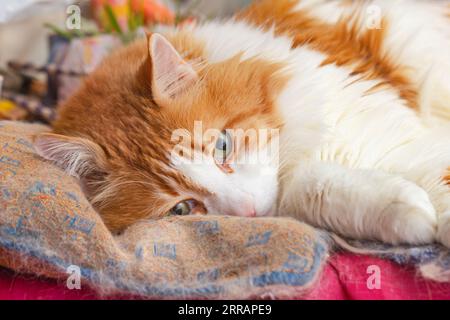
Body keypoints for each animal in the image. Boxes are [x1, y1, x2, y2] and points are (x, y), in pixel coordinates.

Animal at [32, 0, 450, 246]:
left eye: (222, 146)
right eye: (182, 210)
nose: (248, 211)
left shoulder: (389, 136)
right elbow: (319, 188)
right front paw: (411, 213)